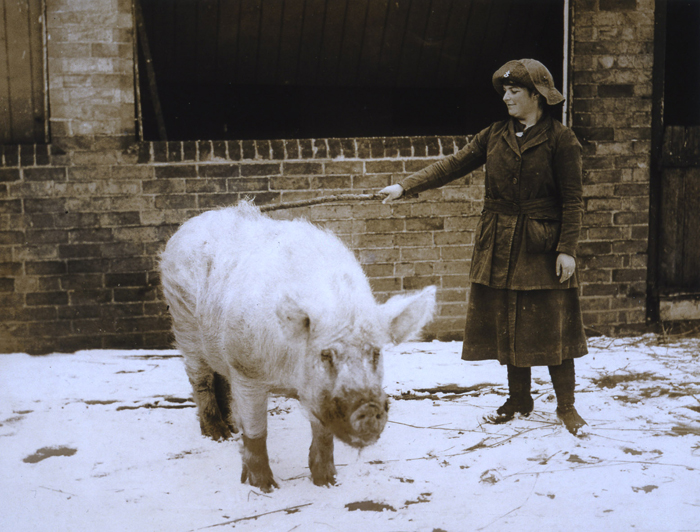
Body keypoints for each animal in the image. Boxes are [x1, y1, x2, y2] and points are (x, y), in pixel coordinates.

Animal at [159, 200, 436, 491]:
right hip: (183, 321)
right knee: (200, 379)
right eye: (325, 354)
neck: (289, 379)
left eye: (375, 352)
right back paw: (218, 435)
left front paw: (327, 482)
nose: (368, 407)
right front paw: (265, 487)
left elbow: (323, 434)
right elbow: (257, 431)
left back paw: (232, 428)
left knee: (219, 377)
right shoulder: (246, 368)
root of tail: (192, 223)